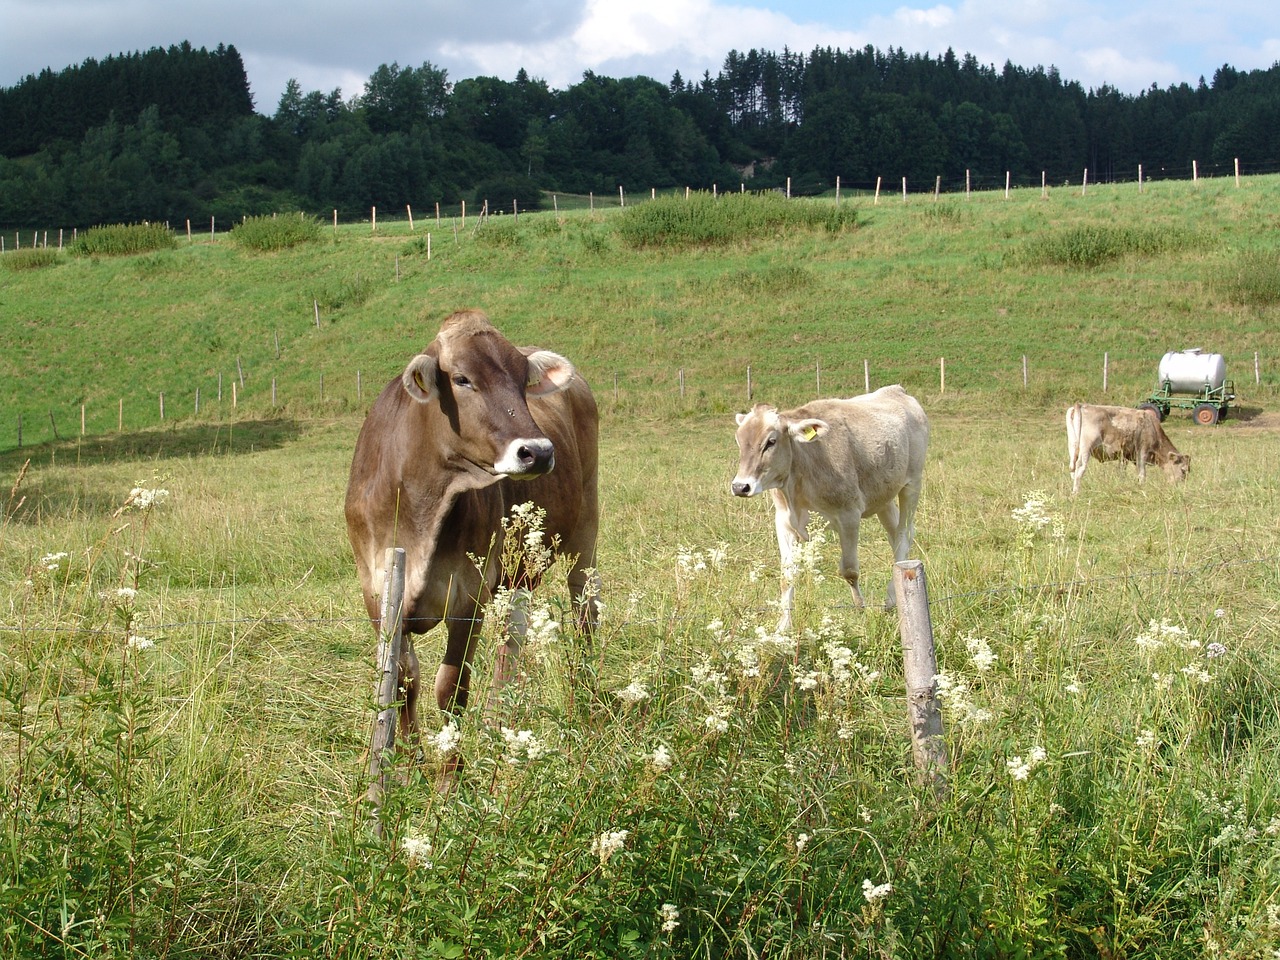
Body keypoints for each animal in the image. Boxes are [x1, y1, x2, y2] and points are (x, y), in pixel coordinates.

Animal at [343, 312, 596, 773]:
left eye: (522, 378)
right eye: (461, 378)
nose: (538, 451)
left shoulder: (468, 596)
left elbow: (451, 687)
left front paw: (450, 773)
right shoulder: (377, 593)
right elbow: (403, 680)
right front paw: (410, 765)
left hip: (586, 527)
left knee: (585, 607)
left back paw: (585, 694)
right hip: (516, 574)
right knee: (512, 641)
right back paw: (499, 720)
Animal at [732, 386, 931, 634]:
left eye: (771, 441)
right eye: (739, 441)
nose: (740, 486)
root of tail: (896, 390)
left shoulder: (849, 516)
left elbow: (849, 570)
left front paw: (860, 609)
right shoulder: (784, 522)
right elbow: (787, 575)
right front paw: (782, 628)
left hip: (912, 484)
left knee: (904, 535)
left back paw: (890, 599)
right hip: (884, 497)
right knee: (896, 535)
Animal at [1059, 404, 1187, 496]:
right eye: (1184, 470)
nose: (1180, 487)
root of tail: (1081, 405)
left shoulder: (1124, 455)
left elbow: (1122, 471)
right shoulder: (1142, 450)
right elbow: (1142, 473)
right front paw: (1142, 487)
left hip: (1073, 446)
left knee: (1072, 468)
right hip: (1086, 447)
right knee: (1080, 467)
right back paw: (1076, 492)